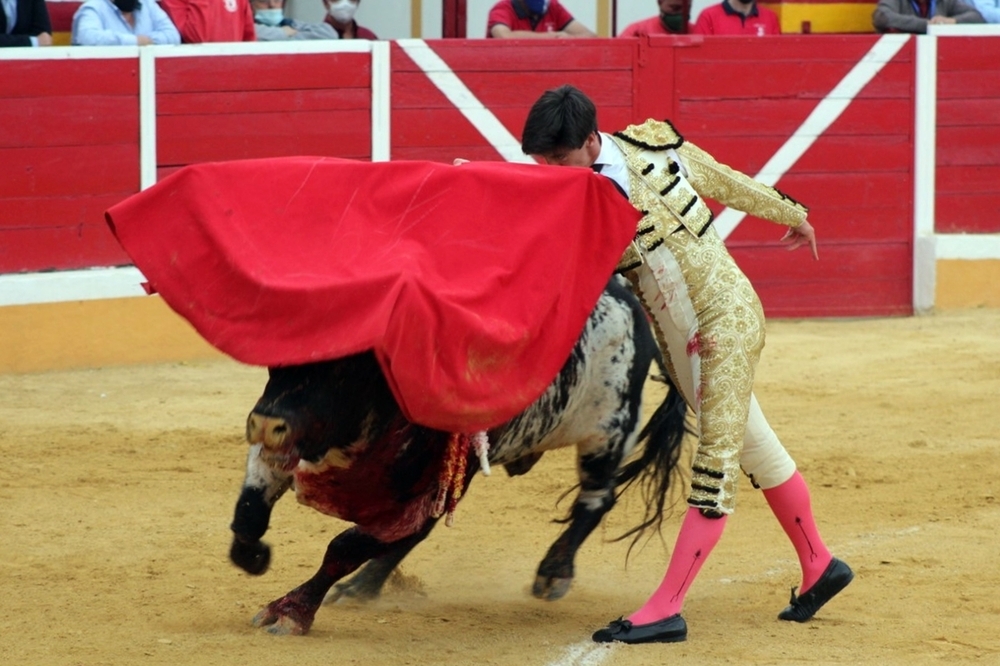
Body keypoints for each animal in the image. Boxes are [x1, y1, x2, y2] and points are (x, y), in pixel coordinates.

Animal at [230, 274, 692, 632]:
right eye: (275, 359)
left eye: (346, 368)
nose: (266, 422)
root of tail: (632, 304)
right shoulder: (289, 453)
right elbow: (251, 510)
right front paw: (254, 556)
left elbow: (344, 548)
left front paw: (289, 612)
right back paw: (363, 587)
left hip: (607, 434)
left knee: (595, 501)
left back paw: (553, 573)